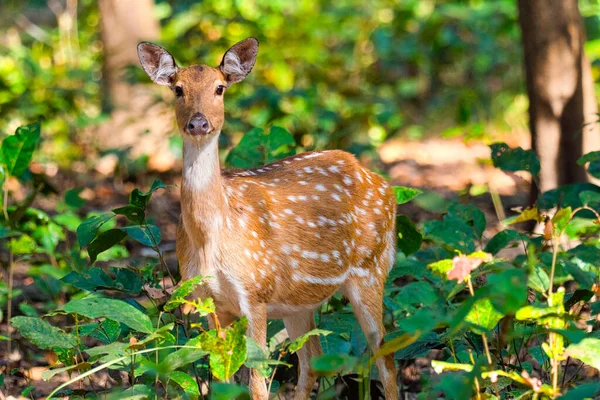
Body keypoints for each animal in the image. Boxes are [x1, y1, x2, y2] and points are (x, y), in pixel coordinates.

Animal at [138, 38, 396, 400]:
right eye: (178, 89)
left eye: (219, 88)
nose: (199, 123)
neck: (212, 236)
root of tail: (382, 183)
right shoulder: (209, 300)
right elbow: (222, 382)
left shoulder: (255, 291)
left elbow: (257, 384)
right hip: (299, 301)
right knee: (312, 360)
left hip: (371, 268)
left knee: (385, 356)